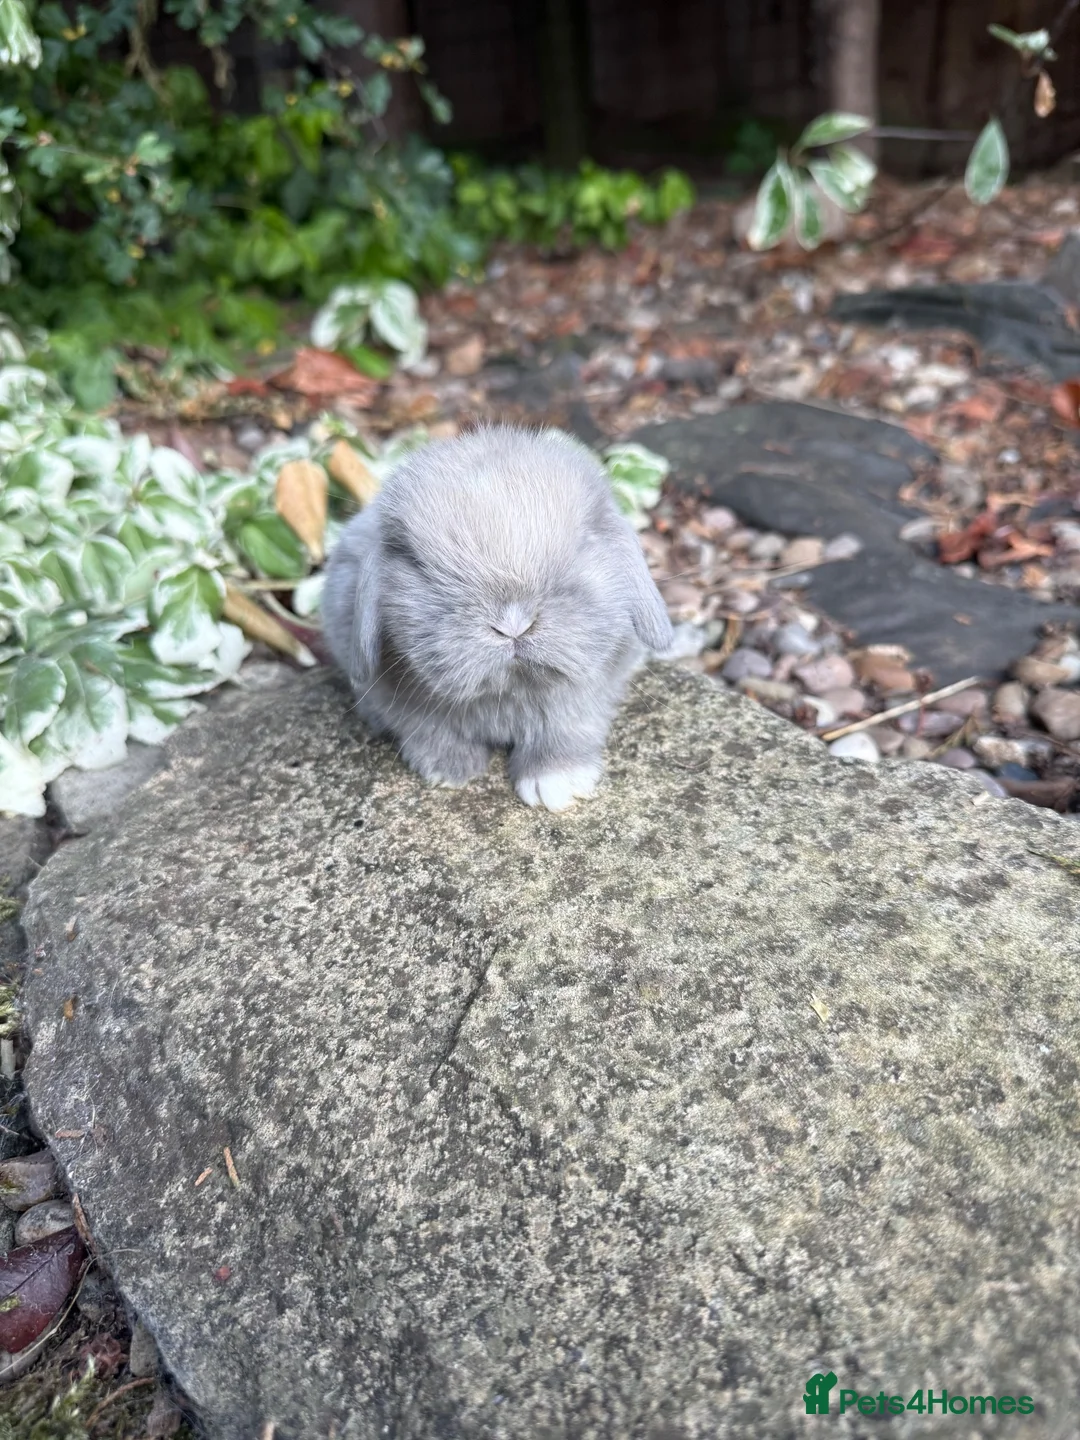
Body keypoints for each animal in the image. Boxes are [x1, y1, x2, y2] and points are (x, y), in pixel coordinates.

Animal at [321, 423, 673, 812]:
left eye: (583, 544)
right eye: (417, 564)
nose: (513, 625)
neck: (508, 689)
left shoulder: (583, 701)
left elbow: (565, 730)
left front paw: (555, 785)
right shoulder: (401, 704)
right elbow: (427, 730)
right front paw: (450, 772)